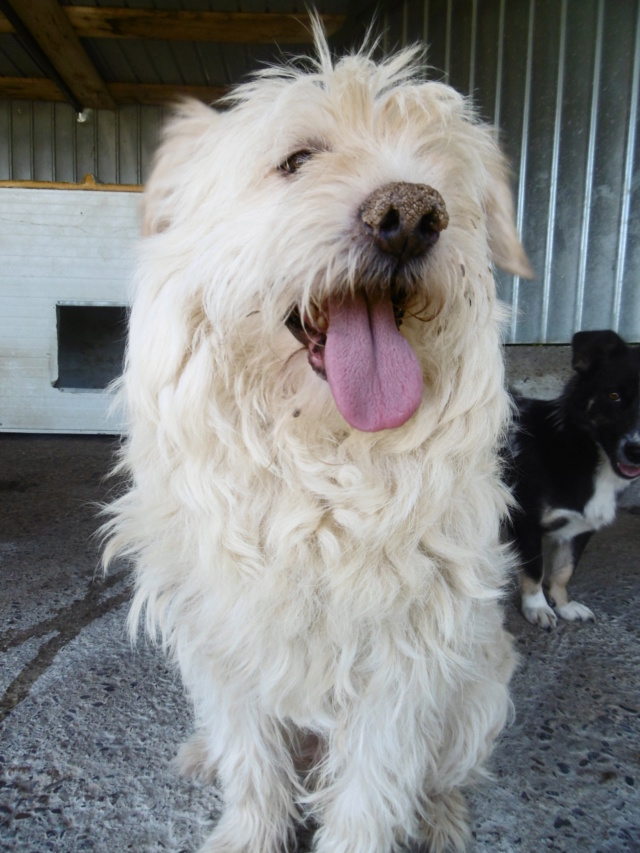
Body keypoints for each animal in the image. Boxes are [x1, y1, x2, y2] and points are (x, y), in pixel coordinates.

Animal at [107, 26, 532, 852]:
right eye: (298, 158)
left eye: (443, 176)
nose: (412, 213)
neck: (323, 468)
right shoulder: (225, 636)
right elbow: (252, 757)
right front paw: (248, 829)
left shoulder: (406, 658)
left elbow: (373, 786)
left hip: (483, 685)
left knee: (445, 768)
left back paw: (441, 815)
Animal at [508, 330, 636, 628]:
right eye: (613, 395)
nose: (636, 450)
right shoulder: (526, 522)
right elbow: (535, 569)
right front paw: (537, 607)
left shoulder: (581, 526)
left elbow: (564, 570)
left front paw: (562, 604)